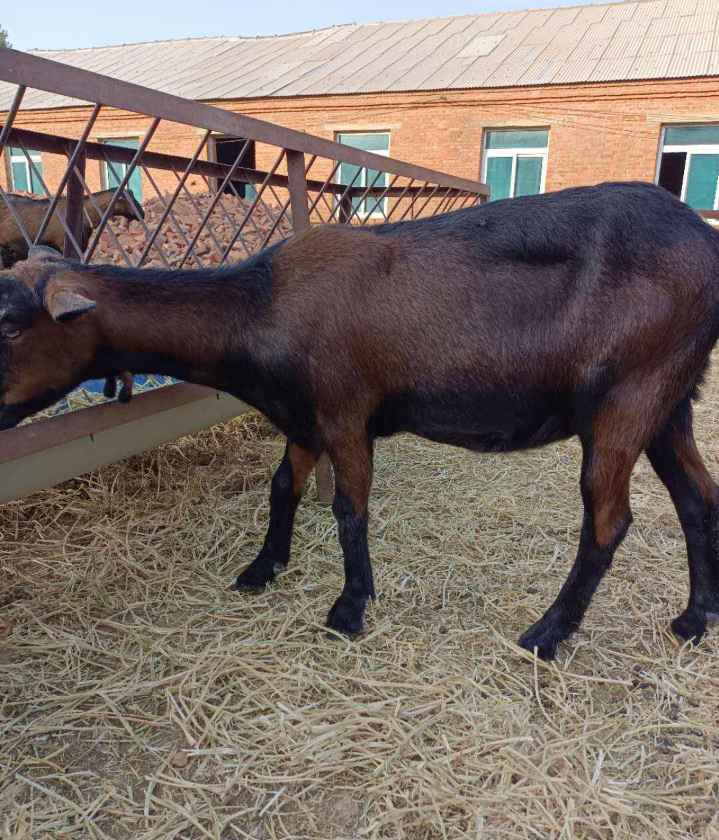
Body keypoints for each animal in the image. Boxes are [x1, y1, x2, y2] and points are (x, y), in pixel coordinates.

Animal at [1, 180, 719, 660]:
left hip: (629, 393)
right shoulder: (300, 418)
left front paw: (348, 608)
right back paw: (693, 620)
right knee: (697, 500)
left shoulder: (346, 411)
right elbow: (282, 489)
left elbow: (350, 508)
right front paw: (262, 569)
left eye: (10, 323)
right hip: (671, 398)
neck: (260, 305)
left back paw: (545, 634)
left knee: (607, 520)